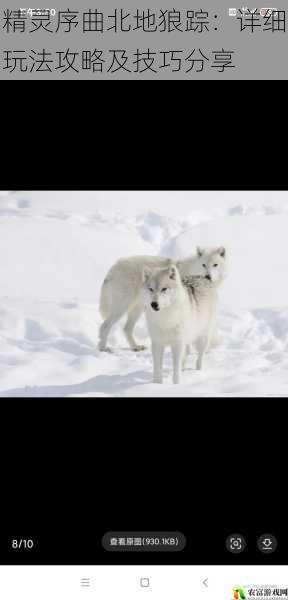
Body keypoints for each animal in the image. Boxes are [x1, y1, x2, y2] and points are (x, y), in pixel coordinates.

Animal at [99, 246, 227, 354]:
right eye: (203, 265)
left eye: (215, 265)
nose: (208, 276)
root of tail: (114, 266)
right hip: (122, 307)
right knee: (105, 326)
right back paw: (103, 348)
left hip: (138, 309)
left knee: (127, 328)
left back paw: (135, 347)